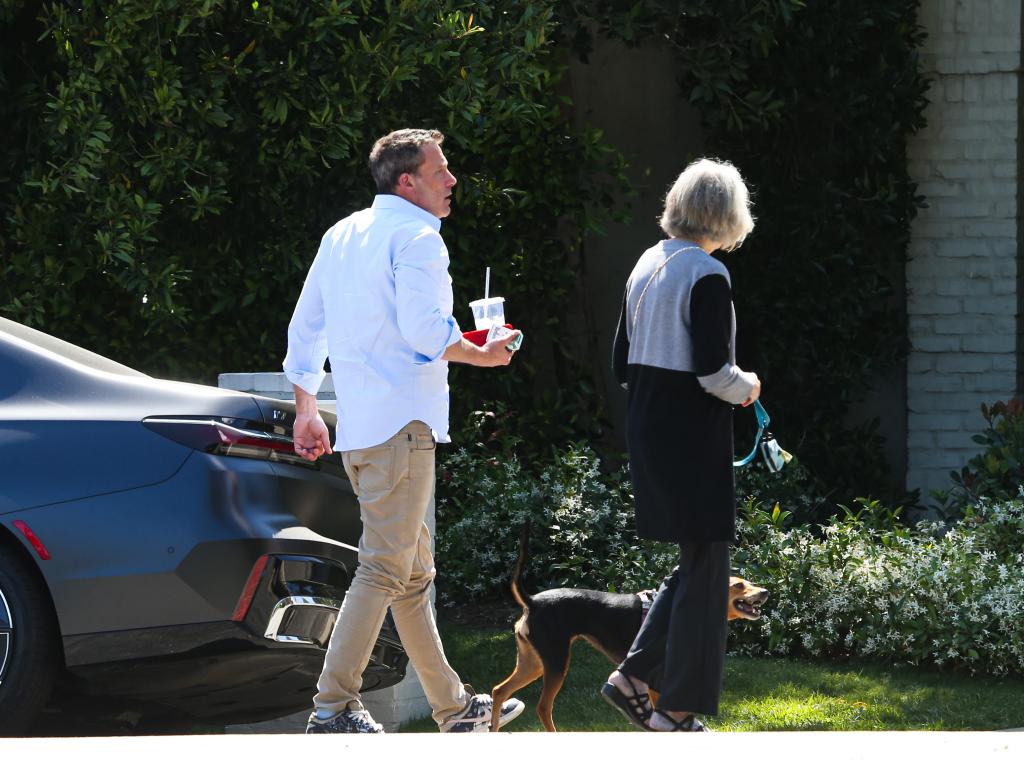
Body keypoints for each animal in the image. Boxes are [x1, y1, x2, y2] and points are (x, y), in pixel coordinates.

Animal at [487, 536, 770, 733]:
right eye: (738, 585)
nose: (765, 592)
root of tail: (532, 601)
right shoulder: (657, 680)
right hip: (556, 662)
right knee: (543, 707)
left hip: (533, 663)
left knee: (499, 691)